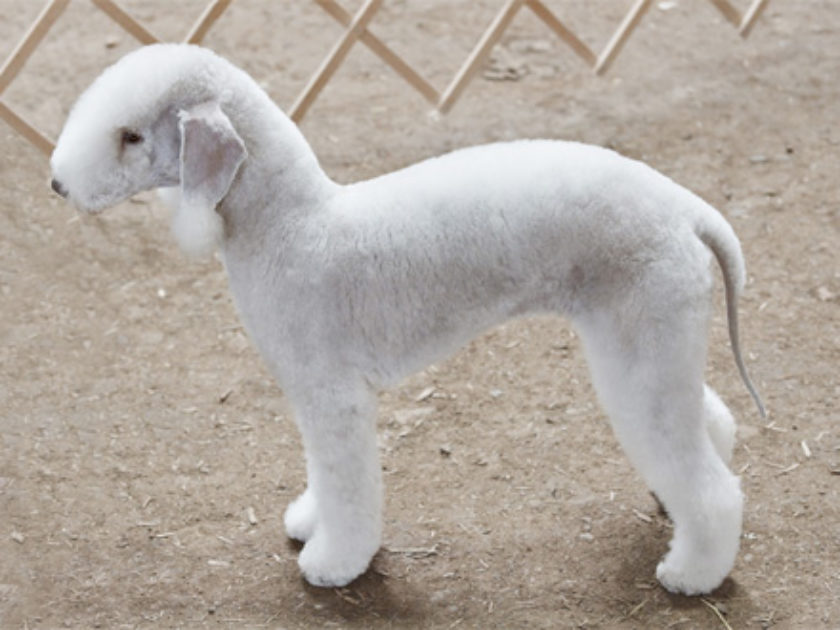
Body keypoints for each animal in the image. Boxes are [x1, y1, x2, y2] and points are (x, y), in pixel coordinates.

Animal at [49, 44, 764, 596]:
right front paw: (309, 521)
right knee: (708, 423)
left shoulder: (332, 395)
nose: (58, 184)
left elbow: (348, 486)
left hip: (641, 343)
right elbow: (322, 476)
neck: (293, 225)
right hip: (652, 342)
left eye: (131, 136)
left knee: (714, 487)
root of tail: (685, 207)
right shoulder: (314, 397)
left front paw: (334, 562)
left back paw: (693, 571)